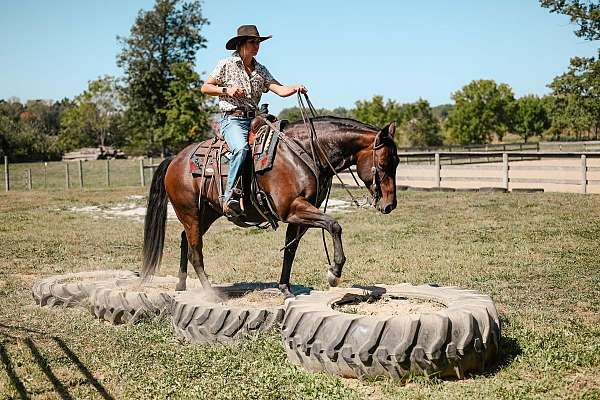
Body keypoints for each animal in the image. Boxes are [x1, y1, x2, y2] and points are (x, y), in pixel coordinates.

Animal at [142, 115, 398, 296]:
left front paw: (285, 288)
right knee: (196, 251)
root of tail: (175, 159)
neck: (305, 151)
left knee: (185, 240)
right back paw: (209, 293)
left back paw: (180, 284)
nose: (389, 205)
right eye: (383, 163)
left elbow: (290, 251)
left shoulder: (299, 216)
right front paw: (334, 272)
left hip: (207, 213)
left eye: (396, 162)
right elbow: (334, 225)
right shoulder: (292, 208)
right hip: (190, 213)